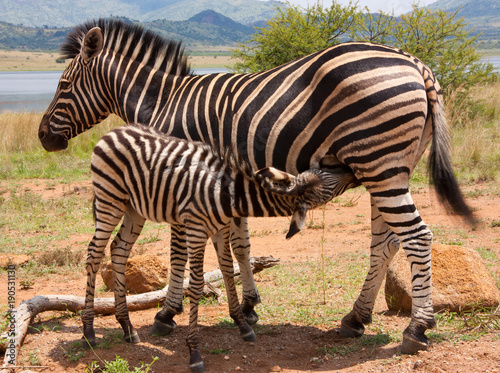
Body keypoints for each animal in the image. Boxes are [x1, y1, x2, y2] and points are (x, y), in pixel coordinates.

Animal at [86, 125, 344, 372]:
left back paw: (127, 327)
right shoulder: (196, 230)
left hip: (134, 208)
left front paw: (242, 325)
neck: (227, 194)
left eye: (324, 173)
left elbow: (228, 270)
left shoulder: (221, 228)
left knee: (119, 250)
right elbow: (197, 285)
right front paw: (194, 352)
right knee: (94, 253)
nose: (342, 164)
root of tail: (113, 131)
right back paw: (89, 331)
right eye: (329, 183)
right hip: (110, 200)